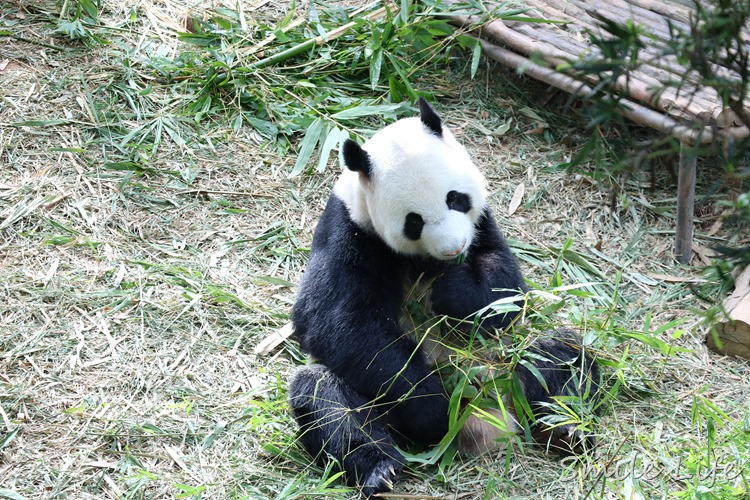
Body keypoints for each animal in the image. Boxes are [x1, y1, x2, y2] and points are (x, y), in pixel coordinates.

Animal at [288, 96, 600, 496]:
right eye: (413, 221)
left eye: (456, 198)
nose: (454, 249)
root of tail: (485, 423)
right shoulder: (349, 229)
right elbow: (337, 320)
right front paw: (432, 407)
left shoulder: (483, 223)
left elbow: (505, 283)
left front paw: (452, 292)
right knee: (327, 400)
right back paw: (382, 466)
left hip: (507, 360)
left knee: (557, 356)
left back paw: (564, 428)